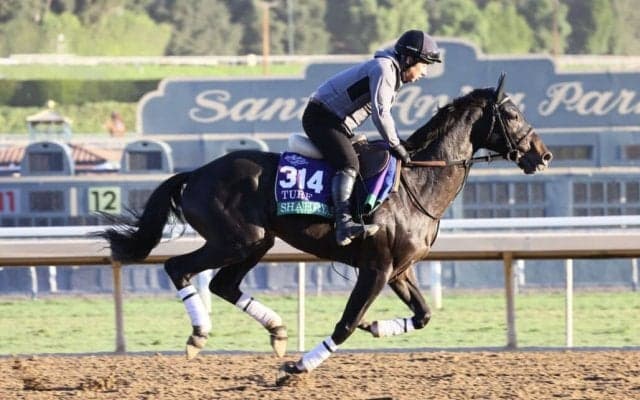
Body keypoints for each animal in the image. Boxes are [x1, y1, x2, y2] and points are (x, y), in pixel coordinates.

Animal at [97, 74, 552, 385]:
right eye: (512, 114)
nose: (543, 155)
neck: (417, 182)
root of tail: (195, 173)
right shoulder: (376, 269)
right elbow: (345, 324)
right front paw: (297, 368)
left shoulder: (400, 270)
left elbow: (422, 316)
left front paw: (375, 327)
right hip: (236, 239)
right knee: (179, 267)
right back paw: (199, 334)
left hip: (257, 242)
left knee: (223, 284)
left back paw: (277, 330)